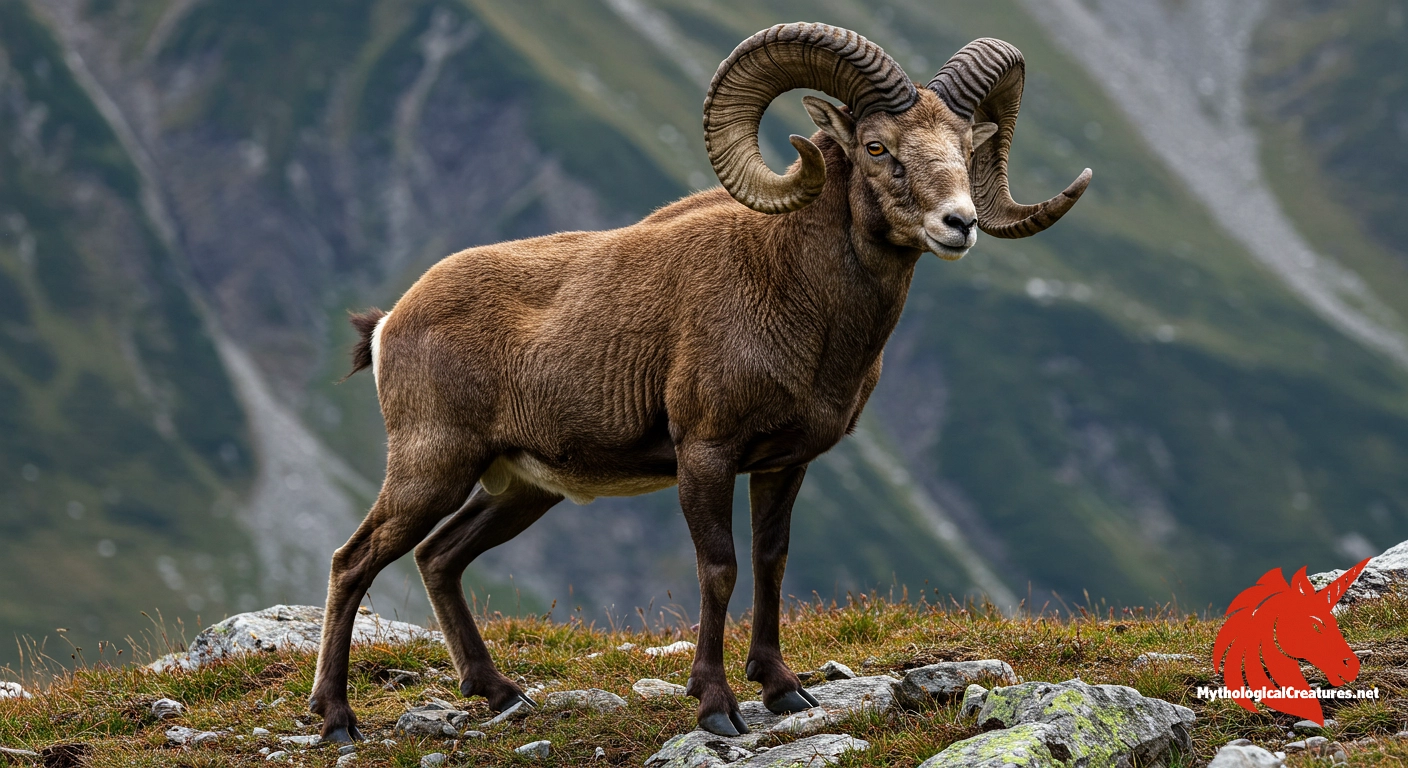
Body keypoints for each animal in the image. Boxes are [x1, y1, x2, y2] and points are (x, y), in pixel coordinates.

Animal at [309, 22, 1090, 741]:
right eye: (877, 147)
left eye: (963, 145)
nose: (959, 223)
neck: (792, 292)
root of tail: (390, 322)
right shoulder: (706, 455)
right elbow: (719, 568)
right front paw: (716, 707)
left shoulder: (782, 464)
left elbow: (771, 562)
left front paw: (783, 690)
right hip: (432, 466)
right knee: (354, 561)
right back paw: (338, 718)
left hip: (520, 488)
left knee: (439, 557)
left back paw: (501, 694)